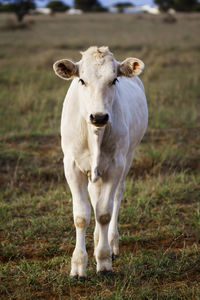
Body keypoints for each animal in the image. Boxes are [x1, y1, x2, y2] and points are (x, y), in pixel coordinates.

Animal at [52, 46, 148, 278]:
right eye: (82, 80)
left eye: (114, 80)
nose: (99, 117)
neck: (95, 133)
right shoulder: (71, 166)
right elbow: (81, 215)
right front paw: (78, 265)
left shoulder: (116, 165)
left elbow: (104, 213)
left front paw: (103, 261)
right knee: (94, 195)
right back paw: (96, 239)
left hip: (127, 157)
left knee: (116, 197)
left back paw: (110, 243)